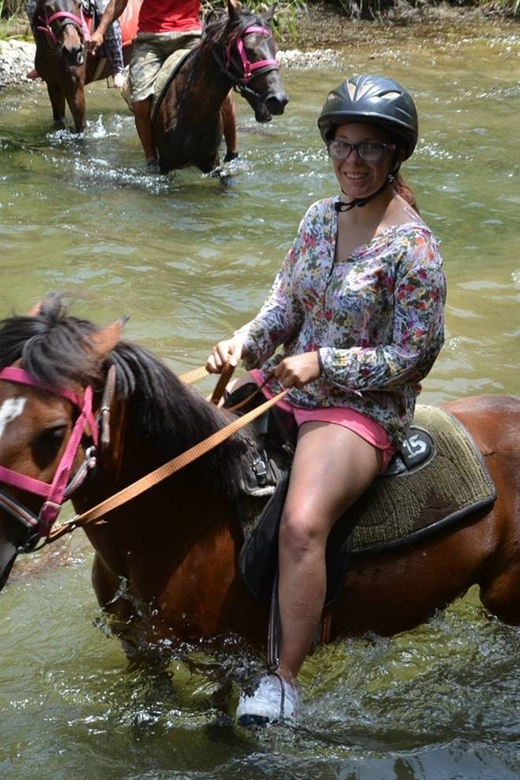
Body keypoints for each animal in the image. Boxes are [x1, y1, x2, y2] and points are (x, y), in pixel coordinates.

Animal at [31, 0, 140, 132]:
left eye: (78, 5)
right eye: (48, 8)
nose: (73, 50)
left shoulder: (75, 87)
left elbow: (80, 126)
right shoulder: (53, 86)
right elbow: (59, 121)